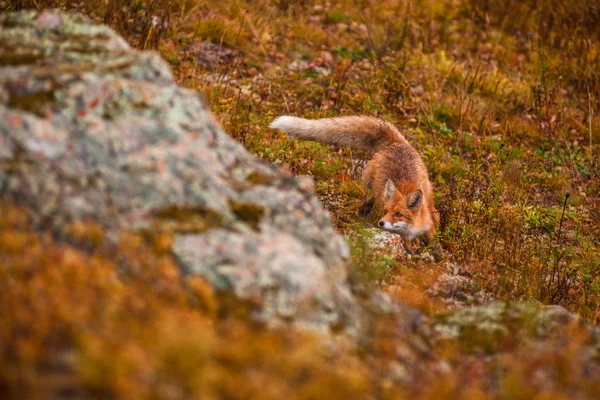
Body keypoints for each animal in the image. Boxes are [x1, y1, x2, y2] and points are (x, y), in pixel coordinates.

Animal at [270, 115, 438, 253]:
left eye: (399, 214)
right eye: (385, 211)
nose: (381, 223)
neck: (411, 228)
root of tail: (398, 142)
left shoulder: (427, 226)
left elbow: (434, 241)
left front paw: (438, 256)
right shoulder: (405, 237)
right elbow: (408, 248)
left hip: (427, 192)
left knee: (434, 210)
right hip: (370, 181)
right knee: (374, 196)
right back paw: (364, 209)